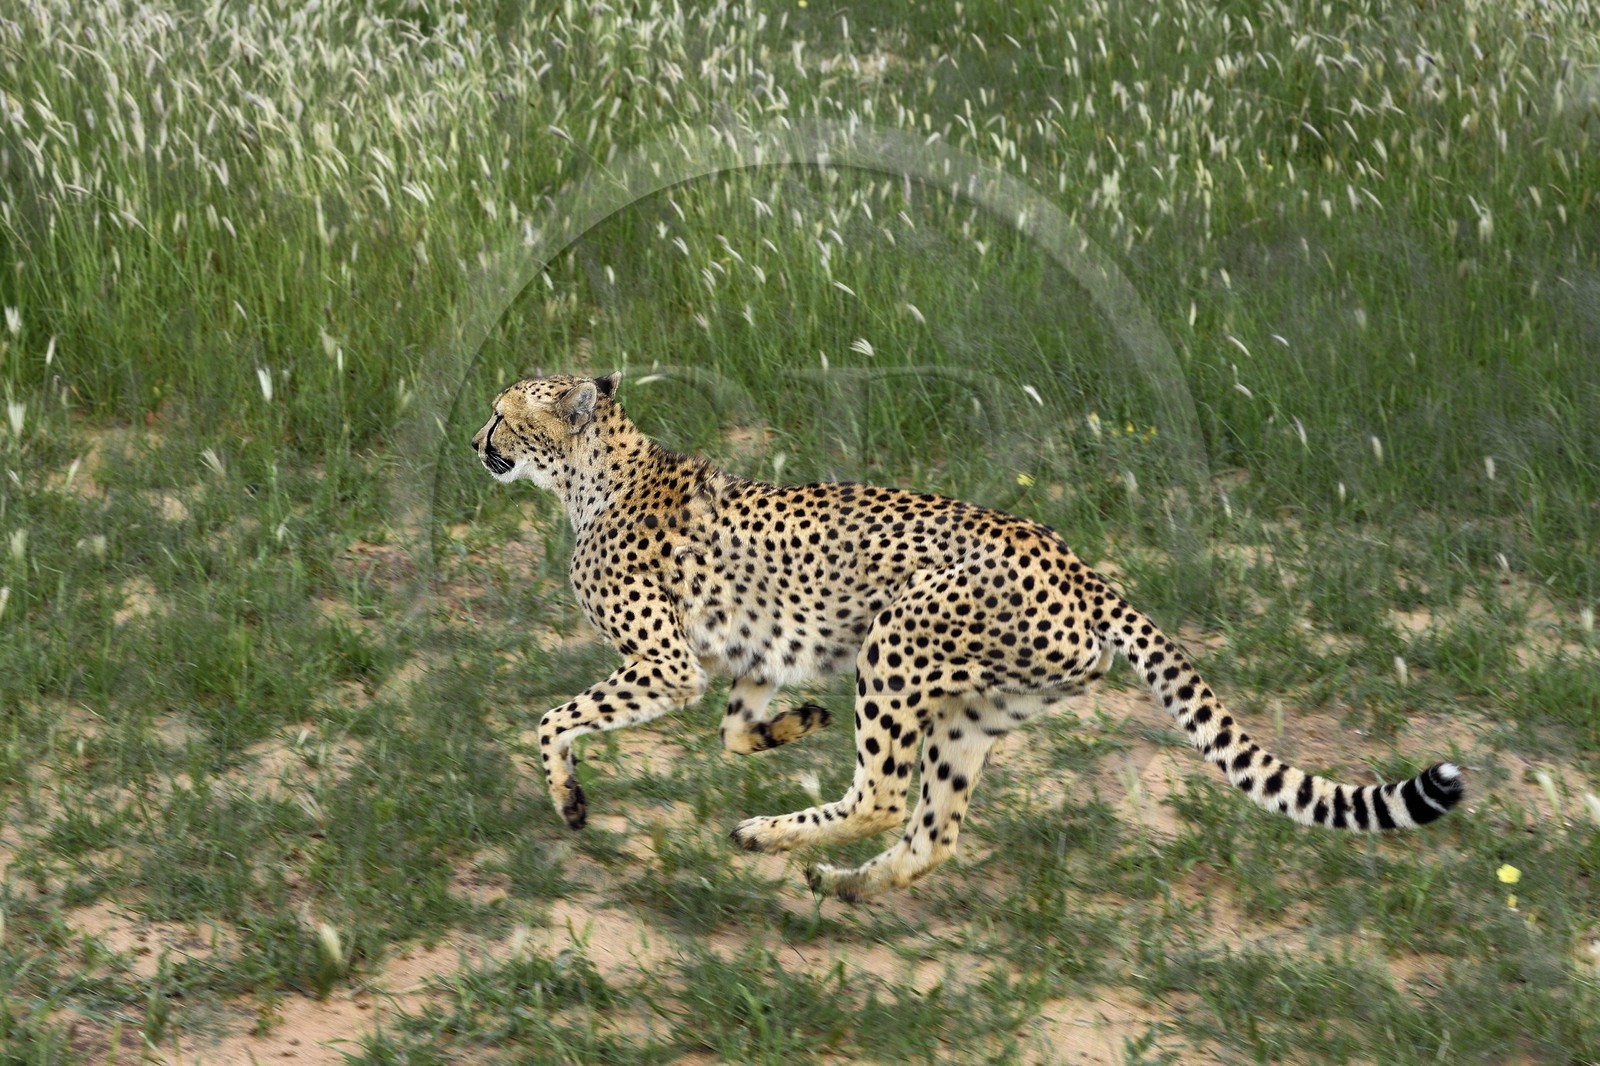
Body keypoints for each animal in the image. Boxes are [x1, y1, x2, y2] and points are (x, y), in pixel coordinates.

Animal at [471, 372, 1464, 901]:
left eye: (505, 410)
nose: (478, 441)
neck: (595, 471)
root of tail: (1079, 563)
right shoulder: (746, 656)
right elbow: (735, 728)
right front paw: (797, 725)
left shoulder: (669, 663)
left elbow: (553, 721)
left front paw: (569, 800)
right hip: (971, 711)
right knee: (931, 831)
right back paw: (838, 879)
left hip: (896, 643)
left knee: (882, 794)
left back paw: (777, 839)